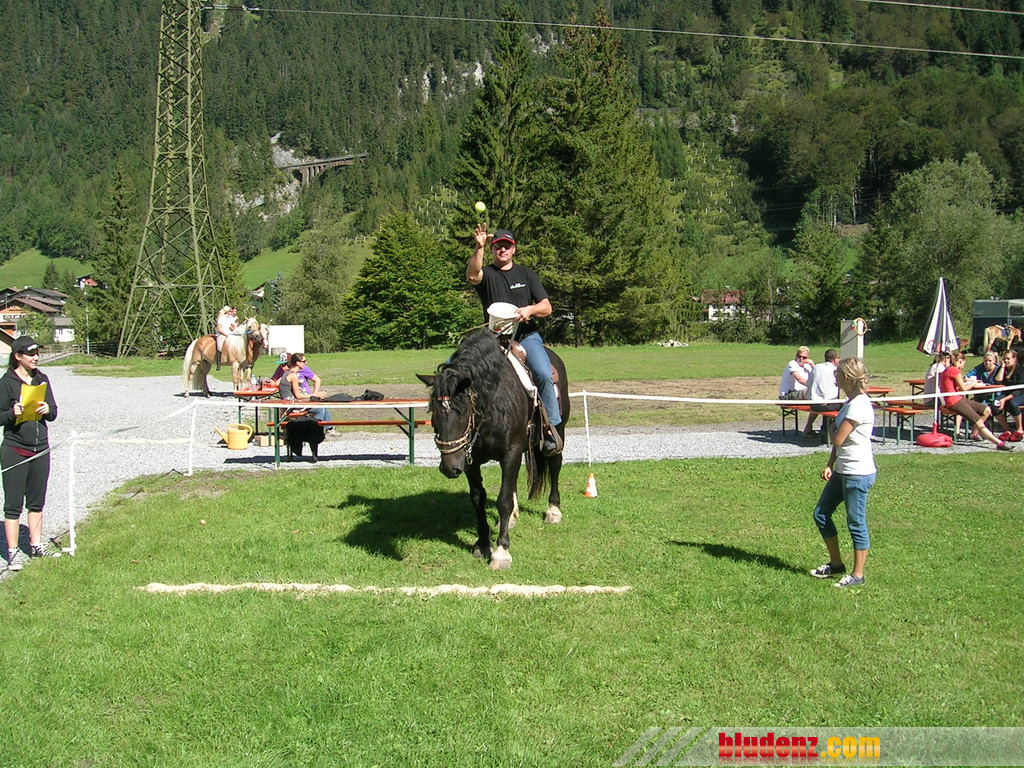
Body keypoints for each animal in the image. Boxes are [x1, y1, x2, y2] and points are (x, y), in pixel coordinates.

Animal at [417, 328, 569, 570]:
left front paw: (501, 552)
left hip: (558, 431)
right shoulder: (470, 460)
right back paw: (514, 518)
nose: (449, 468)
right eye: (433, 411)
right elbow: (478, 498)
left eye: (462, 411)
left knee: (554, 464)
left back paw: (553, 510)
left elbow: (503, 500)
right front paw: (482, 543)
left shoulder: (510, 453)